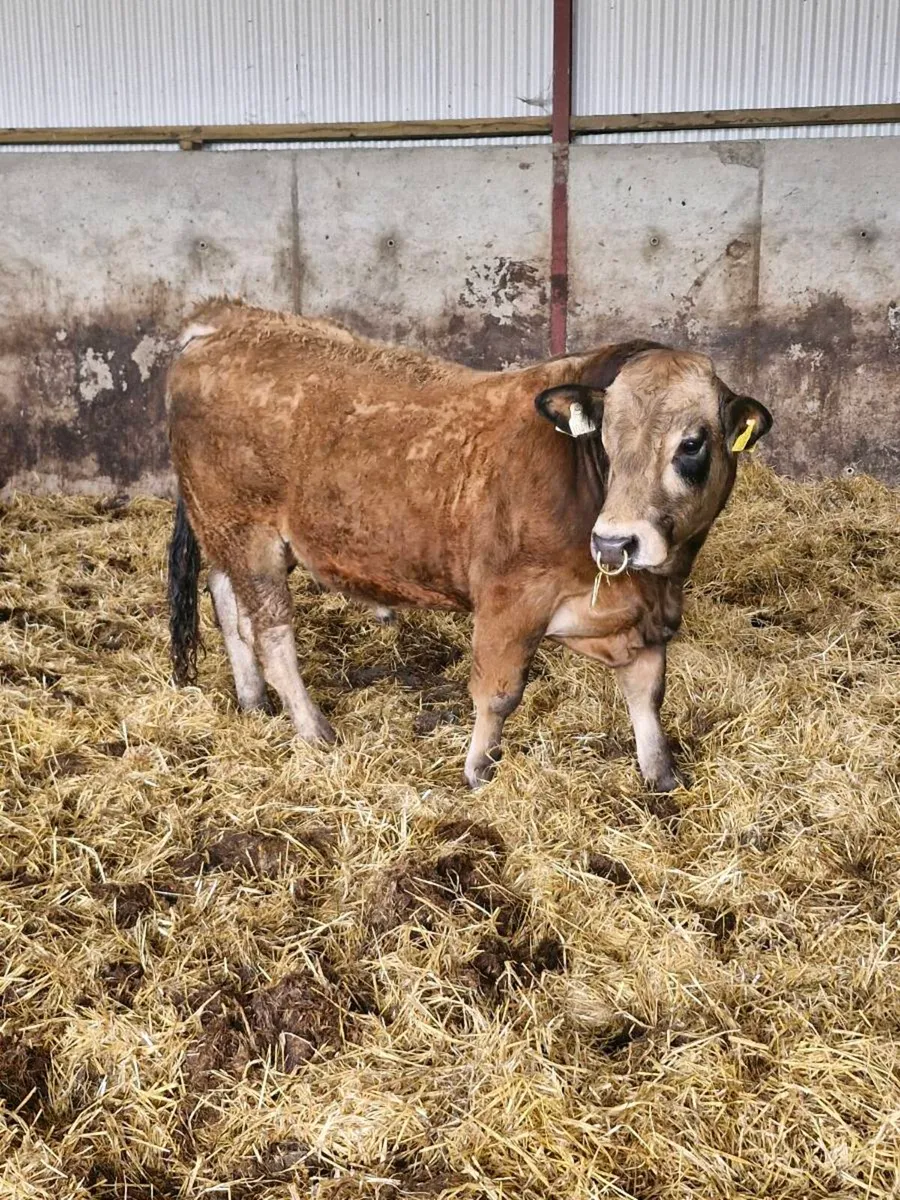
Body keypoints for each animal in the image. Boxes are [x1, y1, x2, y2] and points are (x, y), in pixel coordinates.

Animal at [166, 299, 771, 791]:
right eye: (605, 438)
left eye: (691, 444)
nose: (614, 539)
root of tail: (229, 320)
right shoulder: (509, 601)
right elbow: (499, 692)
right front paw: (480, 769)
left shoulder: (642, 615)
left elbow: (647, 693)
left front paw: (661, 774)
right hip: (248, 532)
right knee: (270, 634)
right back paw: (314, 730)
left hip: (227, 532)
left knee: (227, 603)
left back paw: (252, 702)